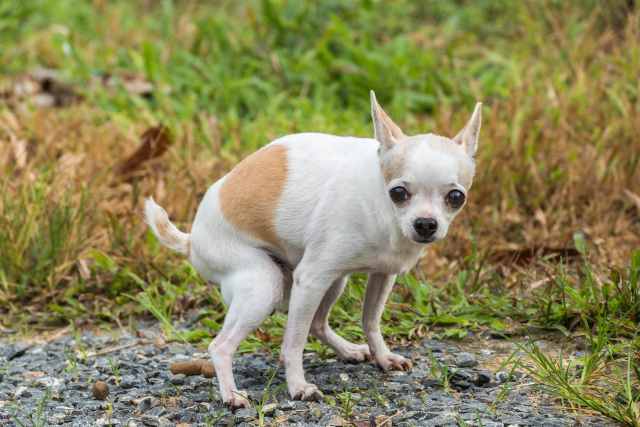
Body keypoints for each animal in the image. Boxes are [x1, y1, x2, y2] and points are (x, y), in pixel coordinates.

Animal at [144, 92, 480, 410]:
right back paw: (231, 394)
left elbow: (370, 321)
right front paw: (298, 387)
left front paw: (382, 357)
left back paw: (348, 350)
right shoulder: (311, 278)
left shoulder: (383, 274)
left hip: (334, 282)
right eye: (398, 193)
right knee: (222, 345)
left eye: (456, 197)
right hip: (263, 284)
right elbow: (293, 344)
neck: (381, 205)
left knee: (318, 323)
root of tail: (191, 240)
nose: (425, 224)